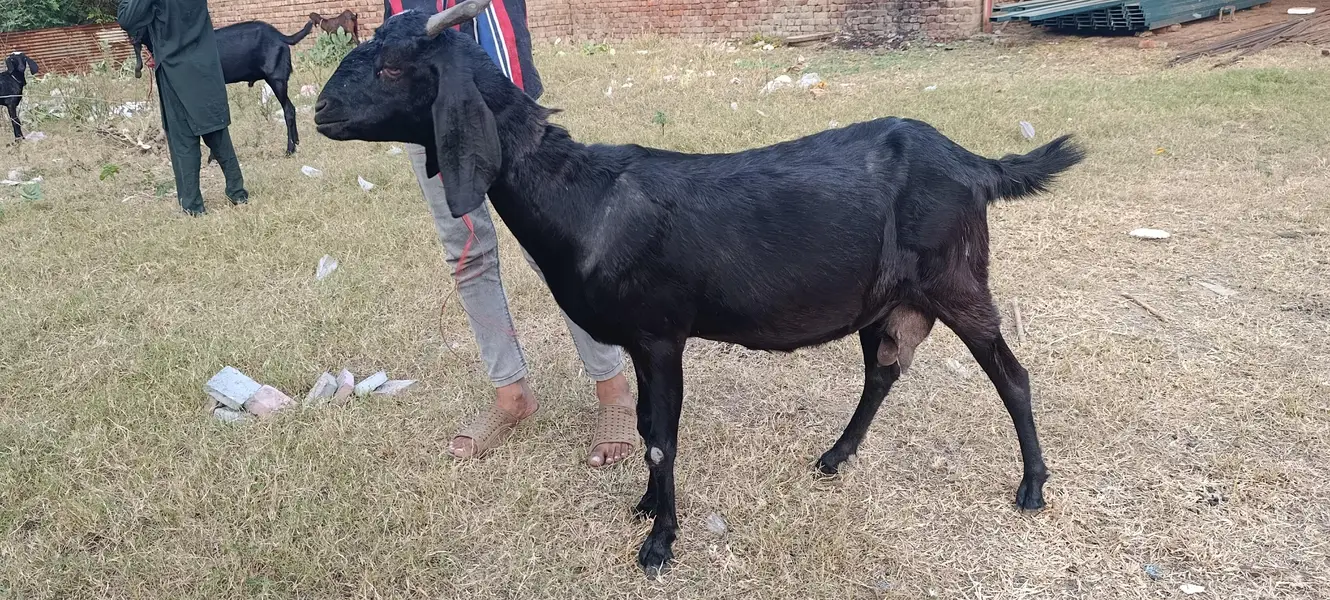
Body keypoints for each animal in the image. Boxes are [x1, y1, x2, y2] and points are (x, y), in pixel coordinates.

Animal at [133, 19, 315, 155]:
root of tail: (280, 36)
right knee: (291, 108)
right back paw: (296, 142)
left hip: (276, 80)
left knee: (288, 110)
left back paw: (290, 149)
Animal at [314, 1, 1085, 576]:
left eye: (393, 67)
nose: (321, 111)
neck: (586, 200)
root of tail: (973, 163)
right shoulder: (641, 342)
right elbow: (644, 426)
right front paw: (646, 507)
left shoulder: (661, 335)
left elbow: (662, 437)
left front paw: (658, 544)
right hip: (884, 299)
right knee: (883, 372)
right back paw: (835, 457)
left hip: (957, 281)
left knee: (1011, 374)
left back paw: (1032, 487)